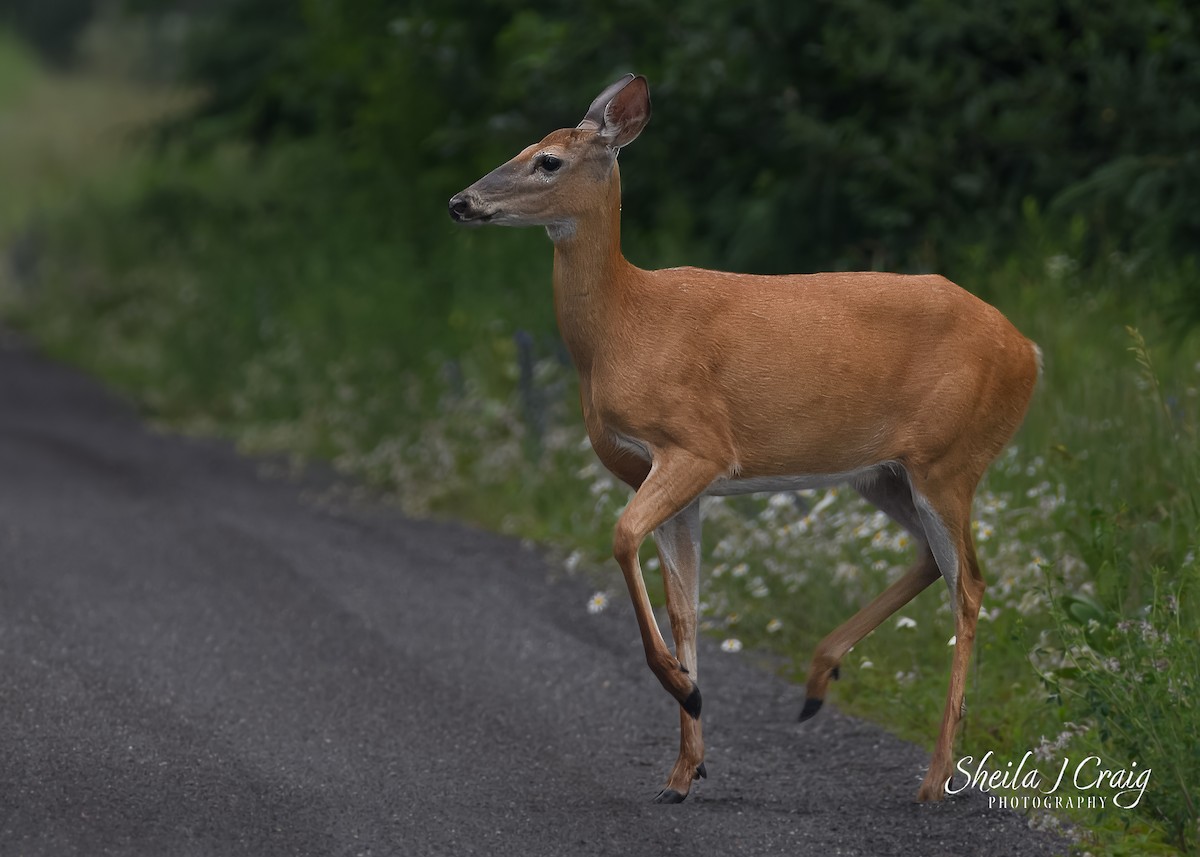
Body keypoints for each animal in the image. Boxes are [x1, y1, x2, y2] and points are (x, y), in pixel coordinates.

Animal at [448, 74, 1040, 804]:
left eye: (548, 160)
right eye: (523, 147)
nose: (461, 202)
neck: (622, 326)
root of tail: (1029, 352)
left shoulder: (697, 445)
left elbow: (622, 537)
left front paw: (686, 692)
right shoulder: (664, 475)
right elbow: (684, 606)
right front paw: (684, 768)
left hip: (950, 458)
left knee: (971, 582)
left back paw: (934, 777)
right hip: (885, 473)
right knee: (935, 561)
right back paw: (818, 684)